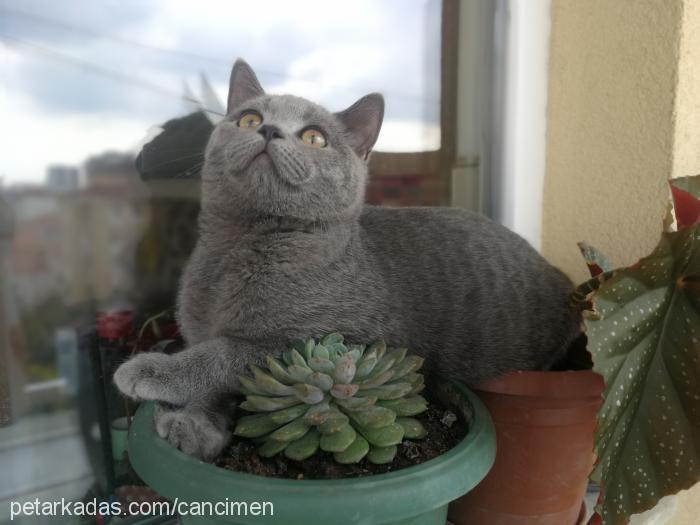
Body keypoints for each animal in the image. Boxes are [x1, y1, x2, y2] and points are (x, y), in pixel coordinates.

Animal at [115, 58, 584, 458]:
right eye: (249, 119)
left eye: (314, 137)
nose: (269, 131)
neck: (235, 249)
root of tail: (560, 277)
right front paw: (196, 425)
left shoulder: (336, 340)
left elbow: (224, 355)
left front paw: (150, 371)